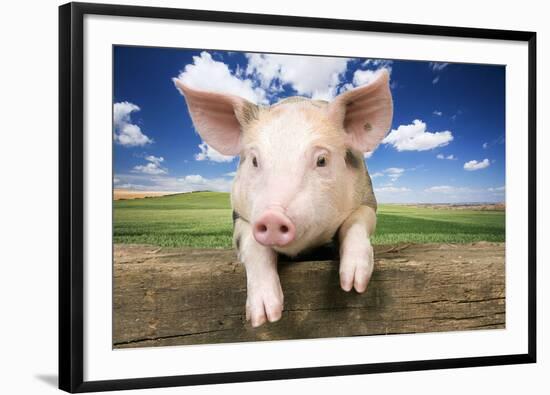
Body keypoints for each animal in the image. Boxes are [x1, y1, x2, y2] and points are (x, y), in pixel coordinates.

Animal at [175, 70, 394, 328]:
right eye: (254, 160)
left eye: (322, 160)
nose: (272, 216)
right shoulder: (238, 215)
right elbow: (251, 244)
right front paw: (264, 317)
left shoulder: (368, 198)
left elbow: (358, 219)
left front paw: (354, 285)